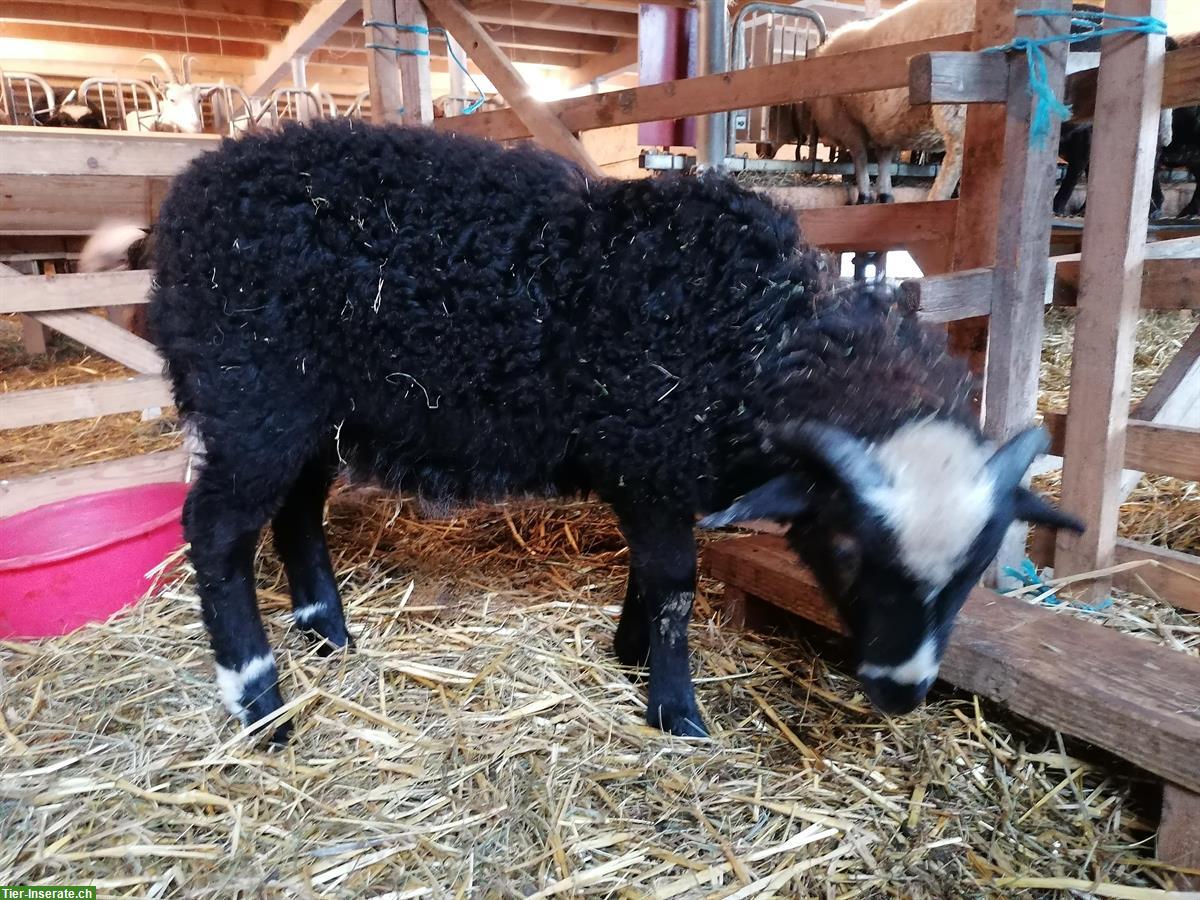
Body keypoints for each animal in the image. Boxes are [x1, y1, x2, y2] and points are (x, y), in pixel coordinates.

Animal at [129, 121, 1080, 739]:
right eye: (847, 548)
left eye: (977, 566)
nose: (901, 691)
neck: (756, 336)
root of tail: (182, 202)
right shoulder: (650, 457)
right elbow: (675, 582)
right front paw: (675, 709)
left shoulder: (650, 470)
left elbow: (651, 578)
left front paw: (629, 655)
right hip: (254, 395)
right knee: (216, 531)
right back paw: (257, 699)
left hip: (317, 412)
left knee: (295, 512)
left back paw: (326, 631)